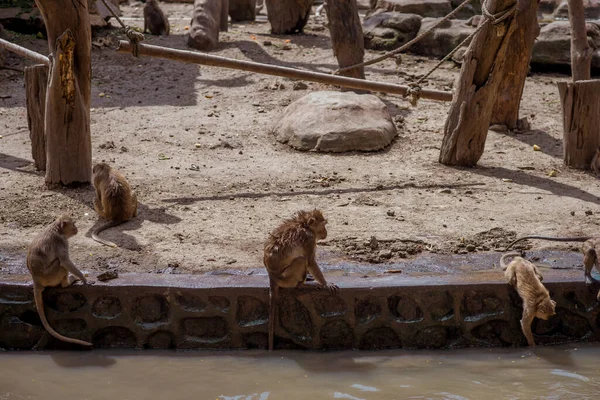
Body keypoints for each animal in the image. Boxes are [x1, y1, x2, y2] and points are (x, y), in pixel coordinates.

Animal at [26, 216, 92, 346]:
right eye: (74, 224)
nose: (77, 228)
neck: (57, 229)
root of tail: (36, 280)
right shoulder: (61, 241)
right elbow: (65, 261)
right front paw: (83, 278)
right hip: (51, 276)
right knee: (60, 263)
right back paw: (68, 282)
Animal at [262, 209, 338, 350]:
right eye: (323, 225)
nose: (326, 232)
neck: (304, 225)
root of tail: (271, 276)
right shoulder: (309, 239)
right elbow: (311, 261)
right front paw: (326, 284)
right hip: (287, 278)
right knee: (302, 260)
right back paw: (302, 285)